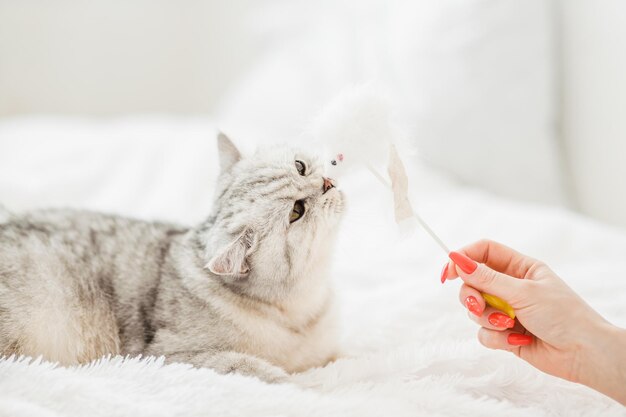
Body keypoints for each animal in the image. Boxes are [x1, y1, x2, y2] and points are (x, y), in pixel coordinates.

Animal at [0, 133, 344, 380]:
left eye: (300, 166)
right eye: (297, 211)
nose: (328, 183)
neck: (302, 311)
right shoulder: (169, 356)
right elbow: (253, 367)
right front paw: (298, 385)